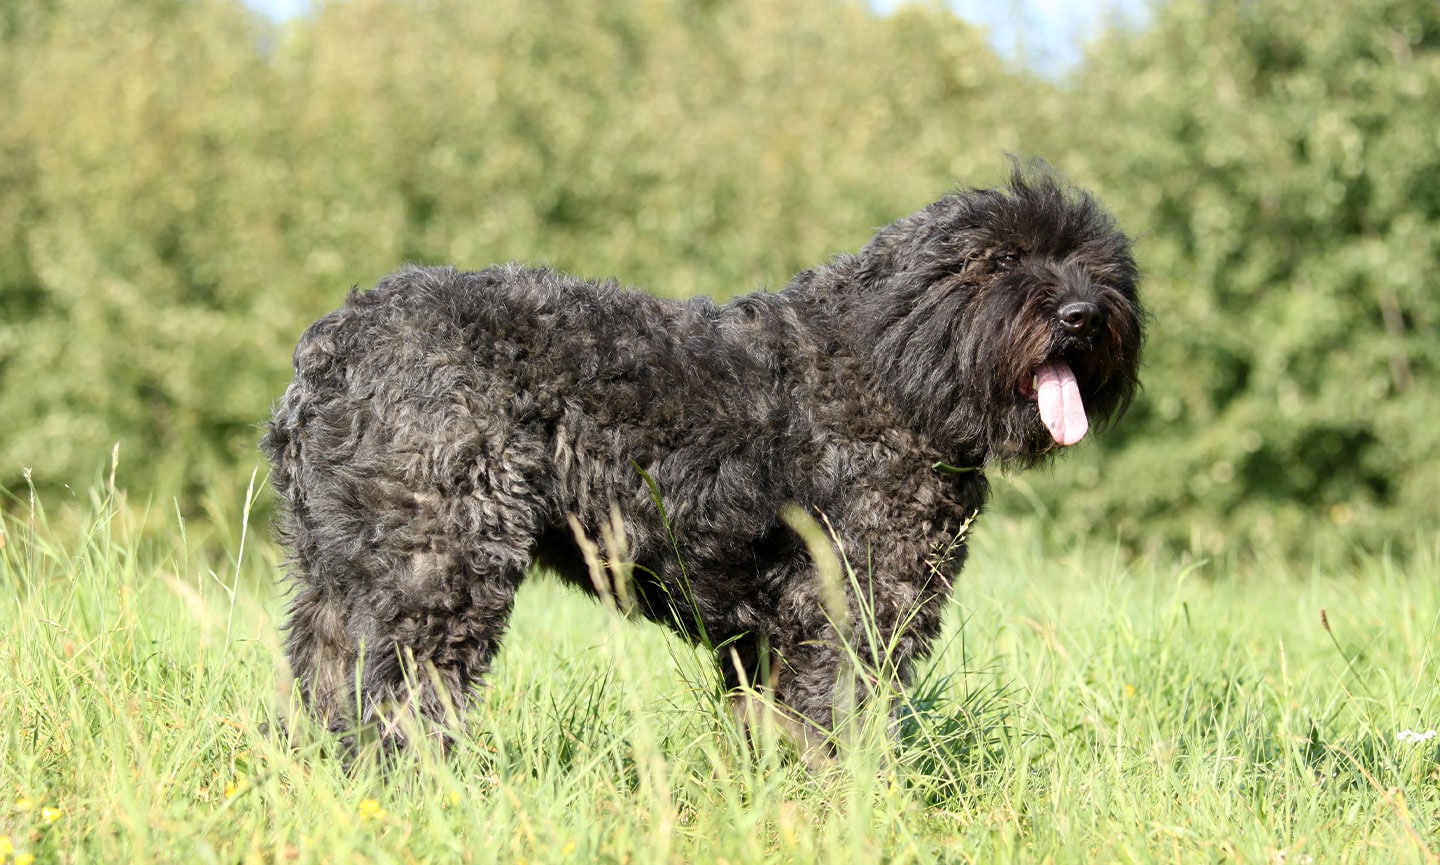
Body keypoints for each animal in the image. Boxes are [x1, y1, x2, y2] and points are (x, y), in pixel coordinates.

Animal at [264, 163, 1146, 754]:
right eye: (996, 261)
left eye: (1097, 264)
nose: (1081, 312)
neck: (890, 360)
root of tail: (331, 350)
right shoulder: (854, 606)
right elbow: (843, 724)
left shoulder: (769, 637)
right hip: (437, 573)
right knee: (397, 698)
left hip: (337, 578)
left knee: (324, 680)